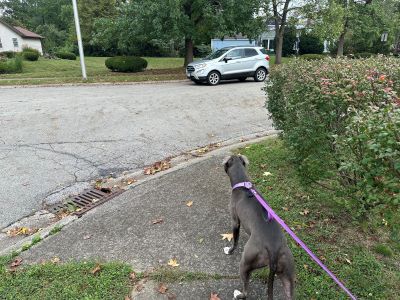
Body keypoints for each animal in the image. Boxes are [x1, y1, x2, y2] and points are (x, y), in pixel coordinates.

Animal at [223, 156, 296, 298]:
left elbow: (235, 240)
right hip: (287, 271)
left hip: (246, 262)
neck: (243, 184)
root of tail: (273, 250)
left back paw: (238, 294)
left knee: (246, 291)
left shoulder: (235, 221)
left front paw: (229, 250)